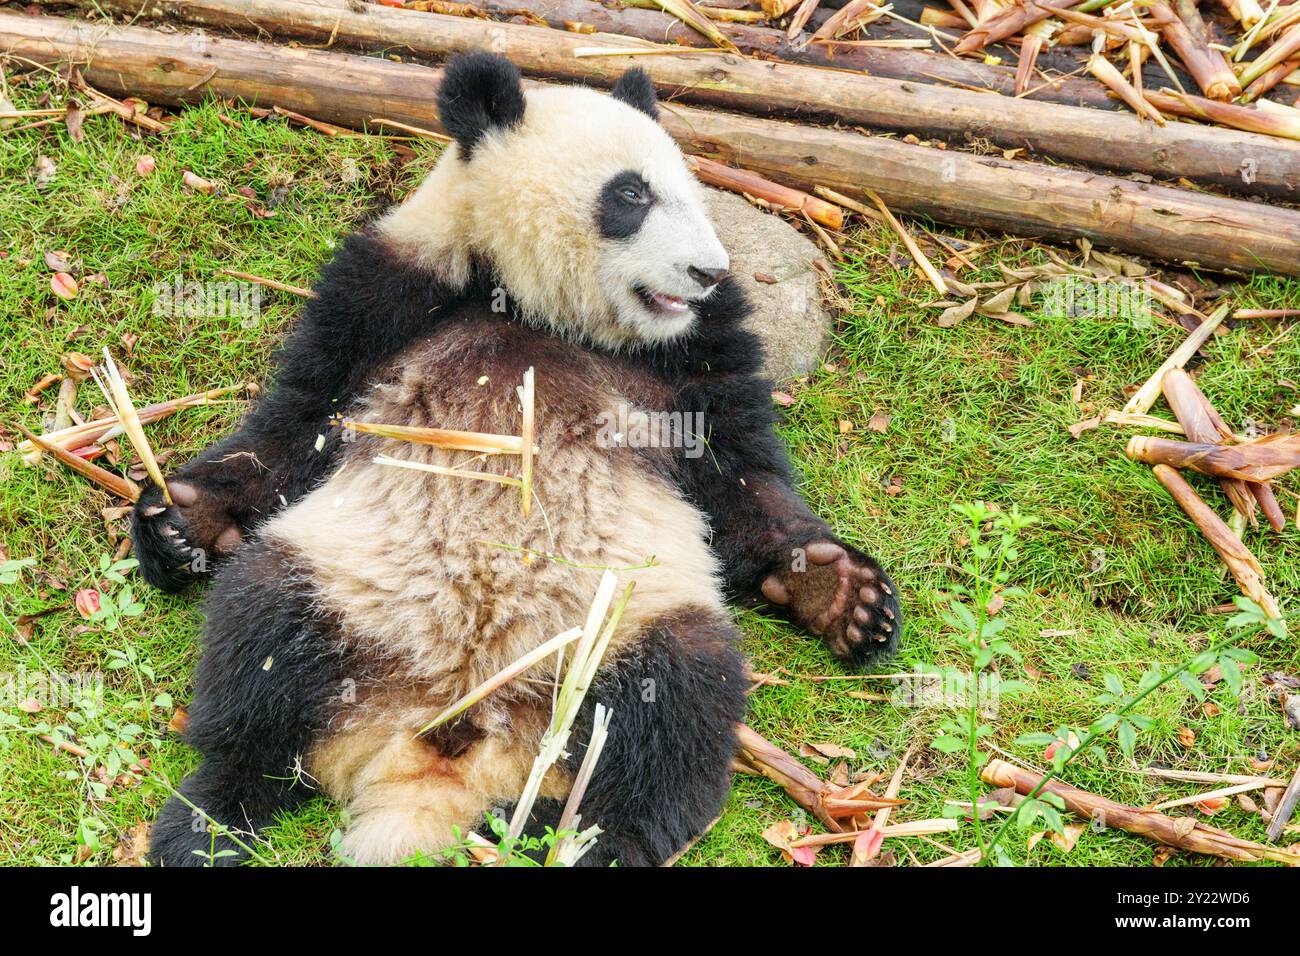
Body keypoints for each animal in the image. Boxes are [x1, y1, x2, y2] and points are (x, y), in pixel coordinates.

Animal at [134, 55, 904, 868]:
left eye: (690, 191)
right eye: (631, 194)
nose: (708, 272)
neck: (537, 310)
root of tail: (445, 742)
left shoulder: (693, 353)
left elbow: (740, 481)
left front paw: (838, 591)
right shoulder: (393, 289)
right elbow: (296, 425)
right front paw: (182, 522)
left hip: (622, 631)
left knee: (677, 715)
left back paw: (575, 835)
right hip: (340, 584)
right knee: (256, 649)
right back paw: (209, 820)